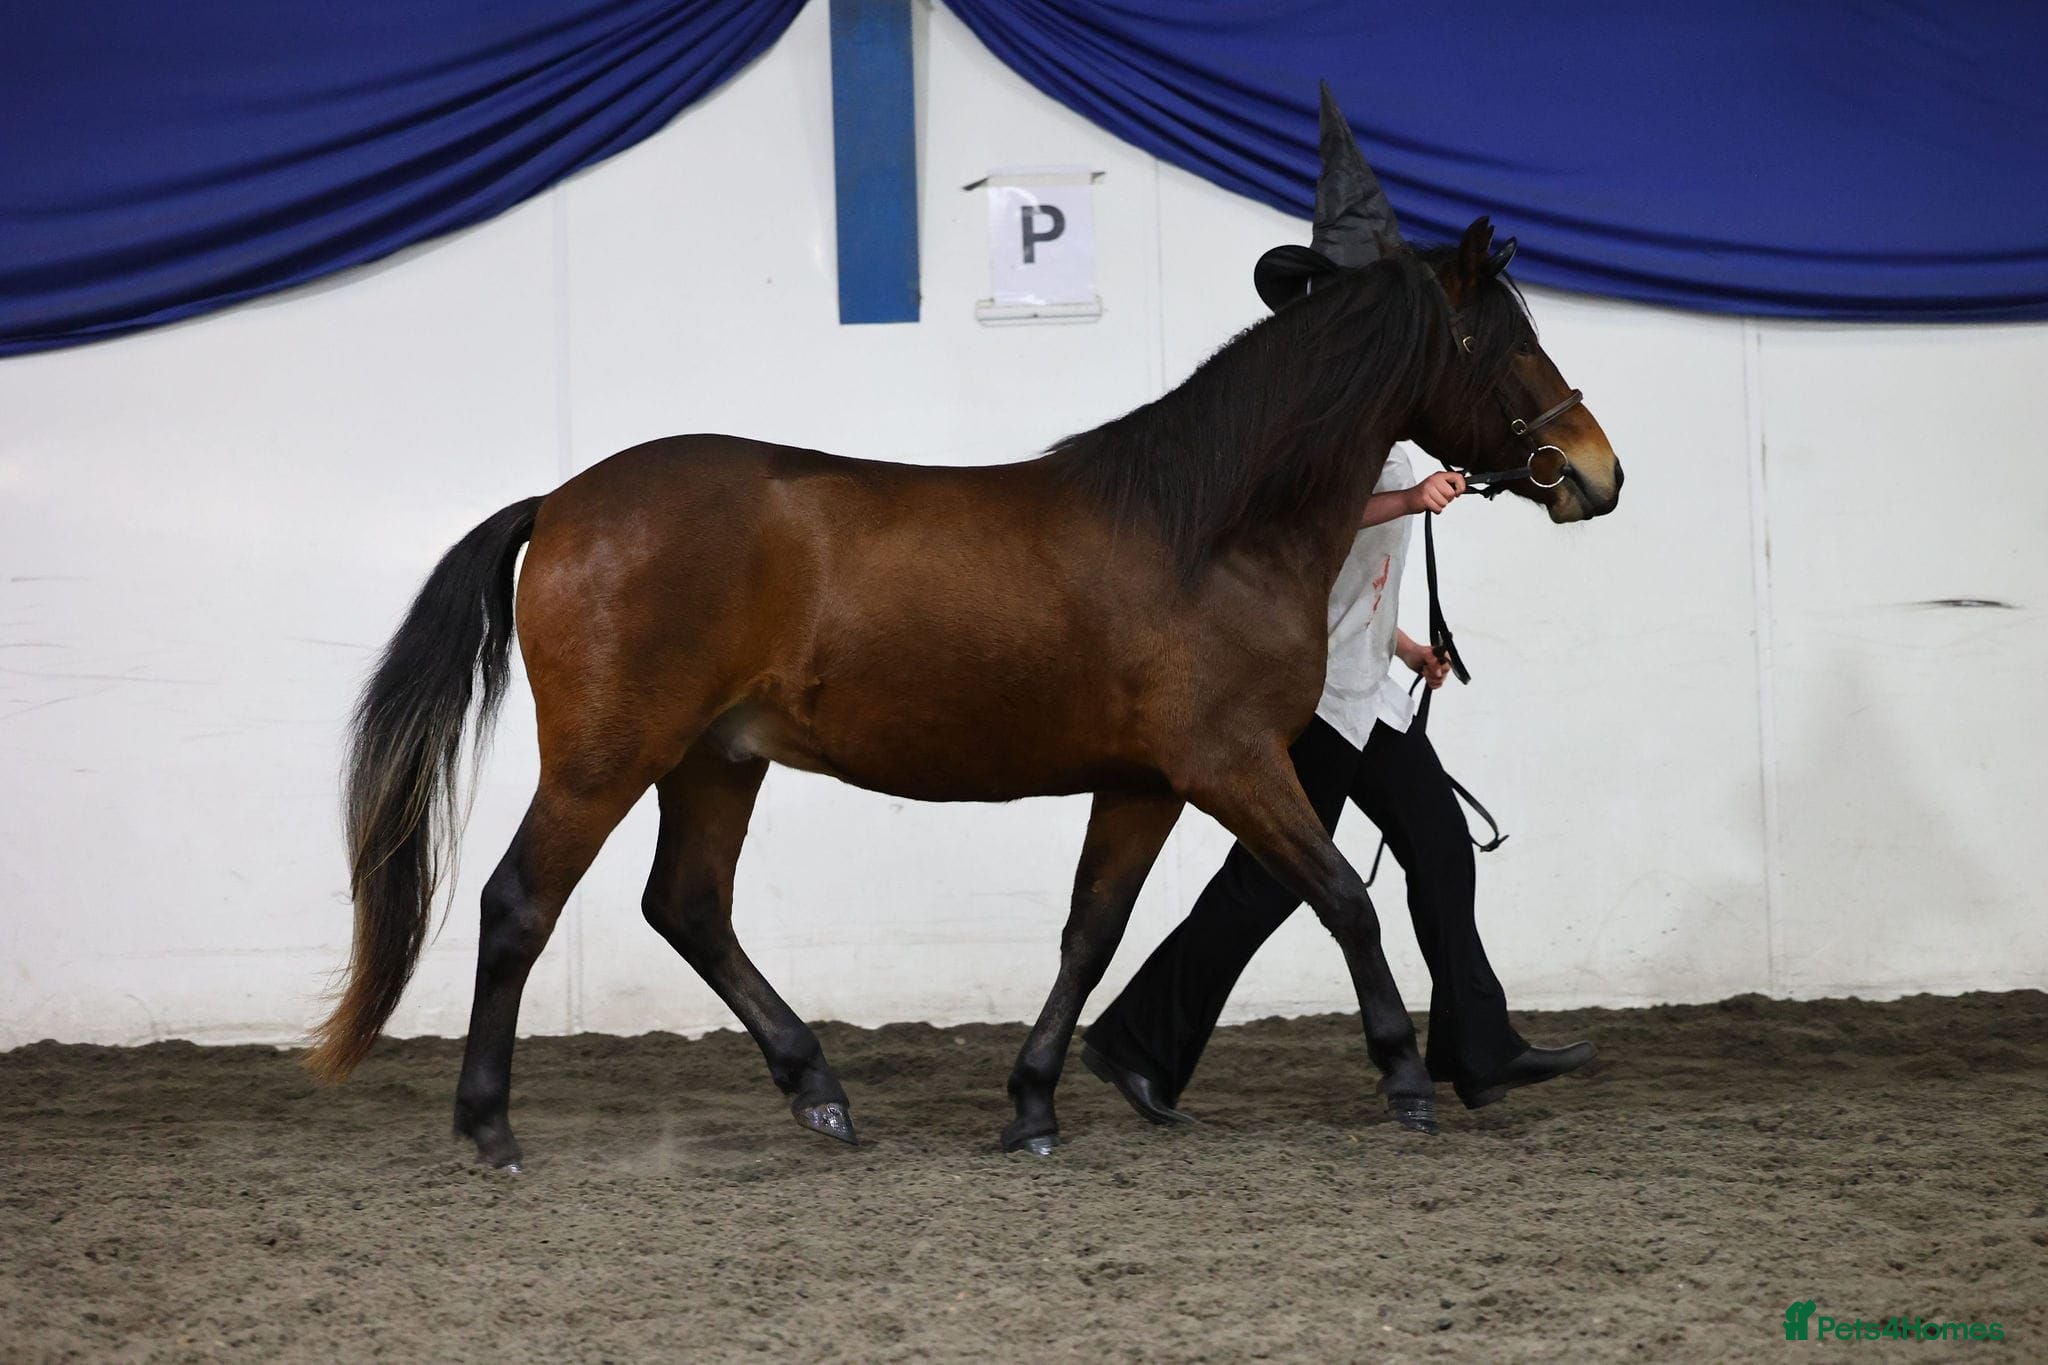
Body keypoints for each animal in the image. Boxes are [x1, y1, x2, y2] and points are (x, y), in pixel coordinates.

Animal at [305, 216, 1622, 1168]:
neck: (1209, 528)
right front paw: (1405, 1082)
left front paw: (1033, 1106)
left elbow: (1092, 934)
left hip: (716, 759)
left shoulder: (1143, 784)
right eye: (1501, 343)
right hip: (608, 756)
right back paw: (489, 1128)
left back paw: (819, 1094)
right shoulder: (1231, 765)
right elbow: (1344, 897)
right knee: (520, 902)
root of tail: (562, 501)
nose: (1595, 473)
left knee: (686, 907)